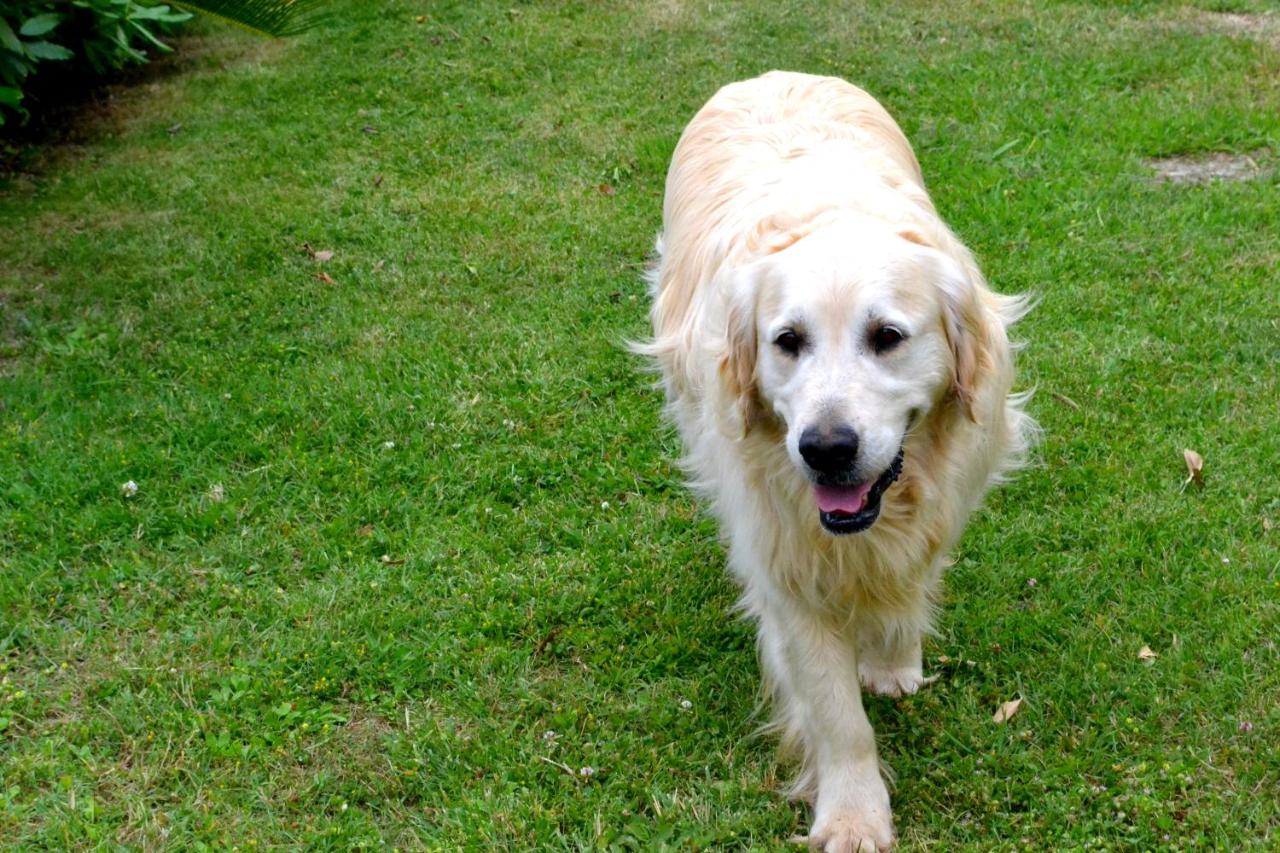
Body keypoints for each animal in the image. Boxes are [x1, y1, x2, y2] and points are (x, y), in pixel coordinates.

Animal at [645, 71, 1034, 845]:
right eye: (787, 341)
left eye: (887, 336)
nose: (824, 449)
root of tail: (772, 73)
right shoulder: (786, 560)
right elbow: (835, 712)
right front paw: (854, 813)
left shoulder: (944, 498)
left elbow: (908, 584)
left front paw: (892, 657)